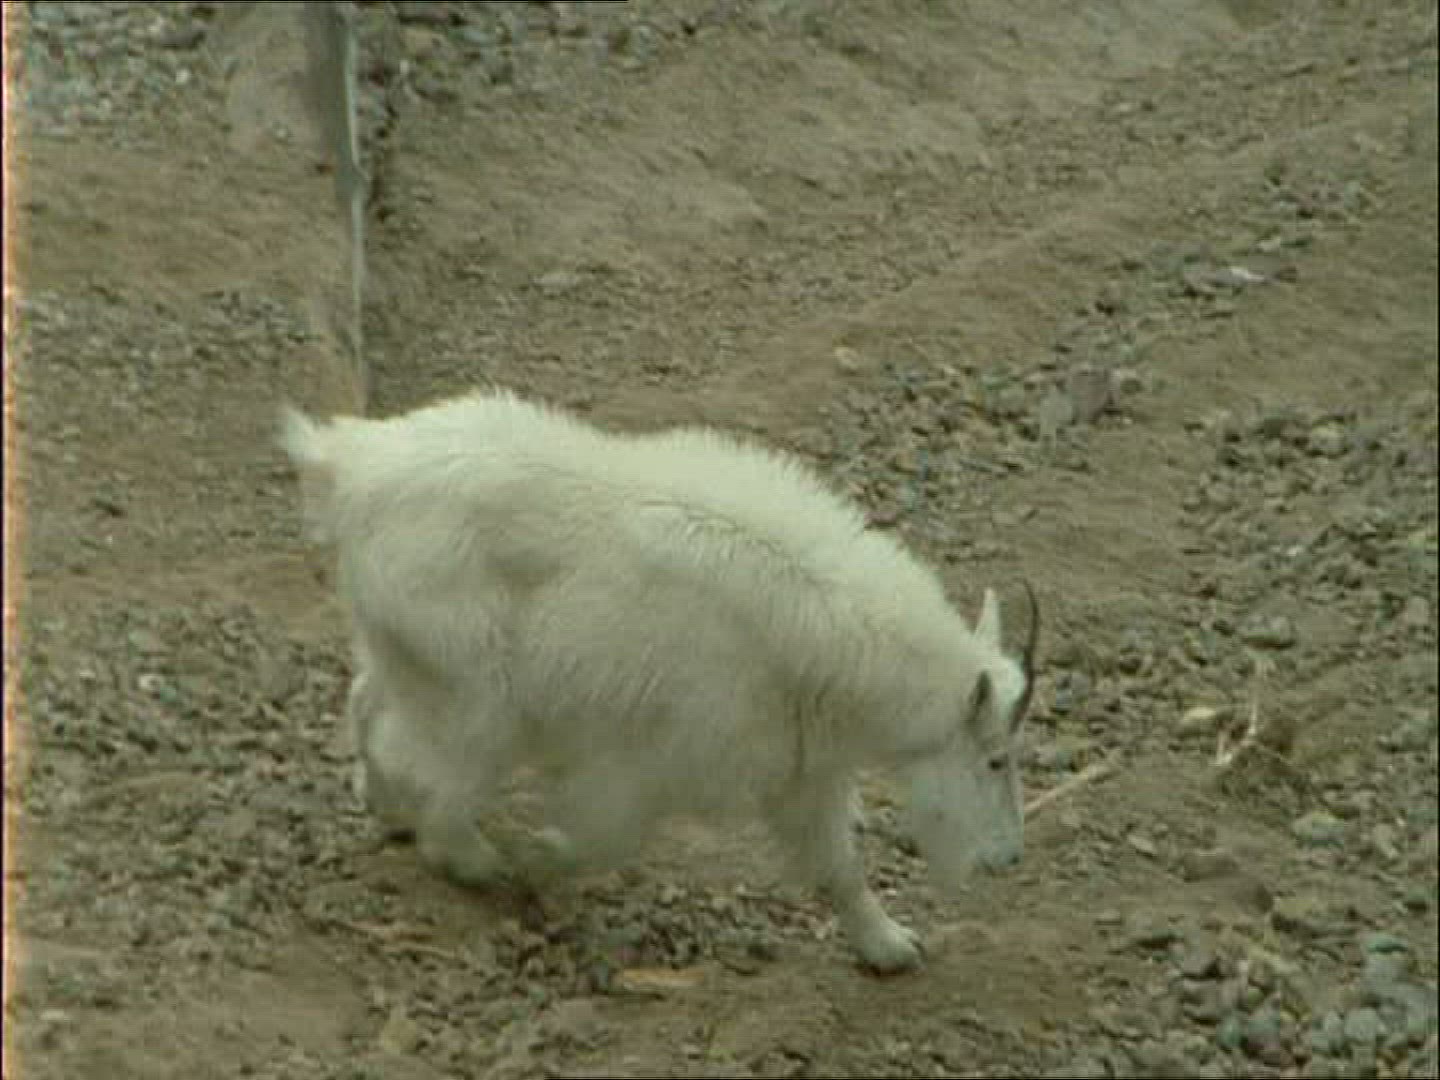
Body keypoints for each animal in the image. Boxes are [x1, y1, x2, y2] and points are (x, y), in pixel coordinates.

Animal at [280, 387, 1039, 972]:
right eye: (995, 759)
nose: (1006, 859)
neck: (831, 629)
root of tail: (348, 467)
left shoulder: (802, 770)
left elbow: (838, 865)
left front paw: (891, 947)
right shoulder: (648, 756)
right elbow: (603, 838)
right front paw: (534, 859)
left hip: (403, 651)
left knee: (368, 704)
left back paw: (391, 811)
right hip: (478, 693)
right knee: (430, 762)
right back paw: (470, 857)